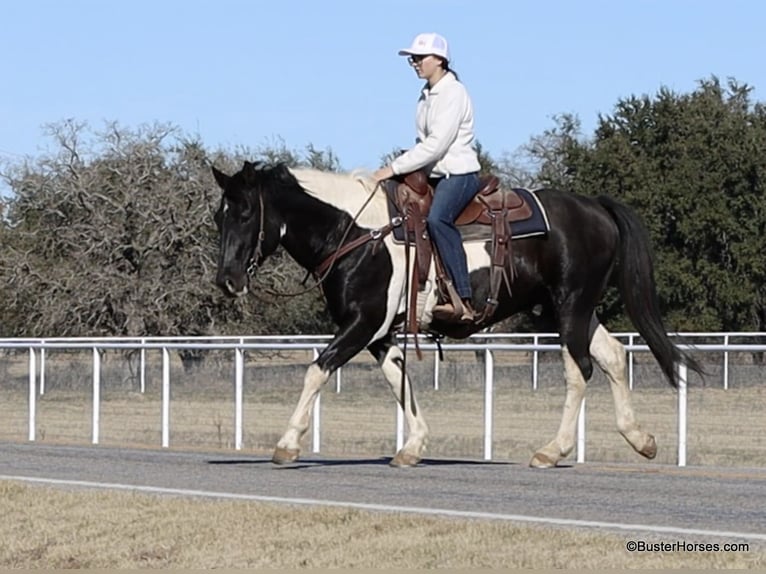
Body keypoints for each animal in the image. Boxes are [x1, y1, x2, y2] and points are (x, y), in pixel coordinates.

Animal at [210, 160, 704, 470]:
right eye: (218, 216)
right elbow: (399, 382)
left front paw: (287, 443)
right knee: (613, 356)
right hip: (569, 310)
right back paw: (640, 439)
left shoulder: (362, 323)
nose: (227, 279)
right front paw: (412, 446)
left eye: (246, 212)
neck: (356, 232)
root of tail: (595, 206)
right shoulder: (380, 334)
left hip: (570, 305)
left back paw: (552, 450)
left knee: (579, 370)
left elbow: (317, 369)